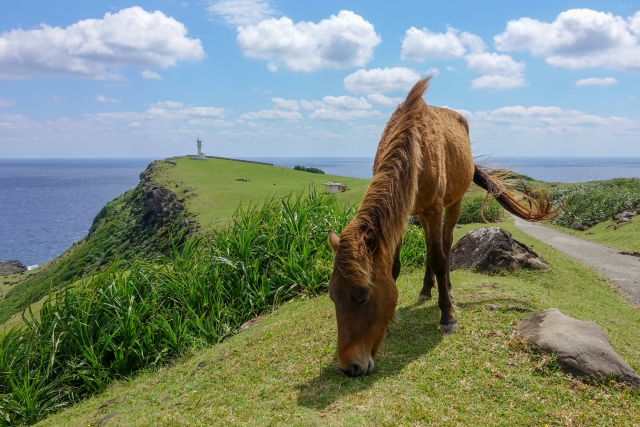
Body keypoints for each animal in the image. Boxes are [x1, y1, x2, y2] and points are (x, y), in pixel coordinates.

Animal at [327, 77, 558, 377]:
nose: (349, 366)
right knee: (430, 246)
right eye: (332, 296)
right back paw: (427, 289)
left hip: (452, 204)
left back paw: (445, 288)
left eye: (364, 297)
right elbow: (396, 266)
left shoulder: (435, 209)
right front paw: (391, 322)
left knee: (444, 247)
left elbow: (439, 258)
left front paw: (447, 316)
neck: (413, 146)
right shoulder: (404, 214)